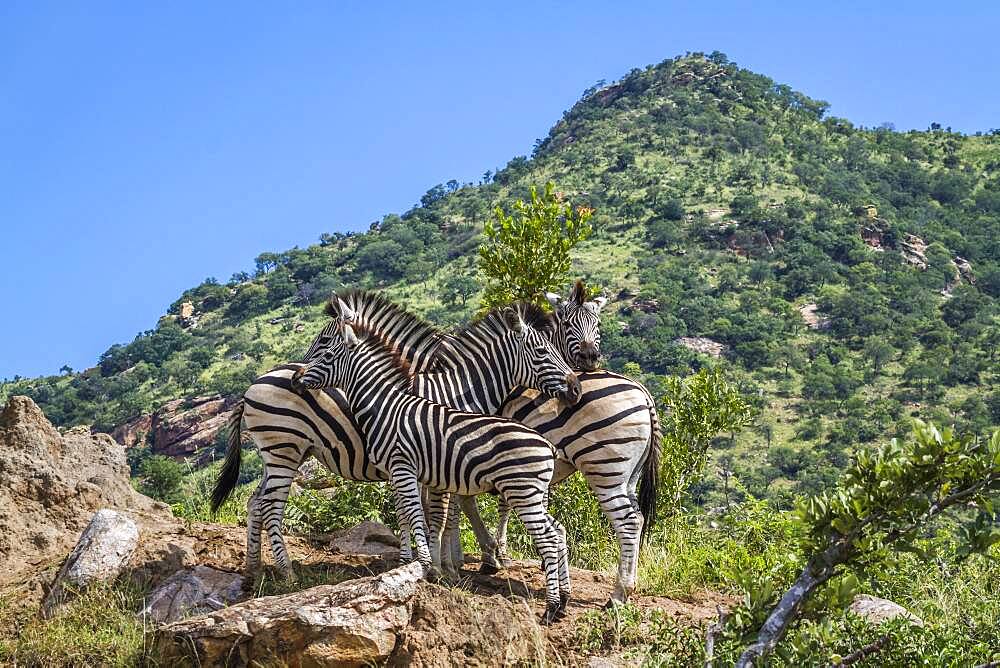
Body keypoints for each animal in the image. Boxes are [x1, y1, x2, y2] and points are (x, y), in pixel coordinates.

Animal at [208, 300, 580, 580]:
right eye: (543, 352)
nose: (576, 388)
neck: (455, 390)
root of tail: (252, 386)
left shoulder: (435, 460)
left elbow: (425, 512)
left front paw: (427, 561)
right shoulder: (437, 459)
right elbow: (440, 514)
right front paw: (444, 566)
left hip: (281, 455)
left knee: (255, 502)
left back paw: (253, 569)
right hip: (283, 450)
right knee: (271, 506)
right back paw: (286, 572)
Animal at [290, 310, 576, 624]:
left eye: (327, 352)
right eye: (542, 351)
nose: (295, 379)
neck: (386, 407)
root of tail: (547, 445)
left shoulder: (405, 468)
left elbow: (421, 516)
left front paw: (428, 566)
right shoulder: (418, 472)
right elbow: (417, 516)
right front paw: (421, 564)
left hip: (524, 492)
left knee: (550, 537)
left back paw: (552, 607)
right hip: (529, 493)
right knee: (558, 532)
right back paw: (562, 602)